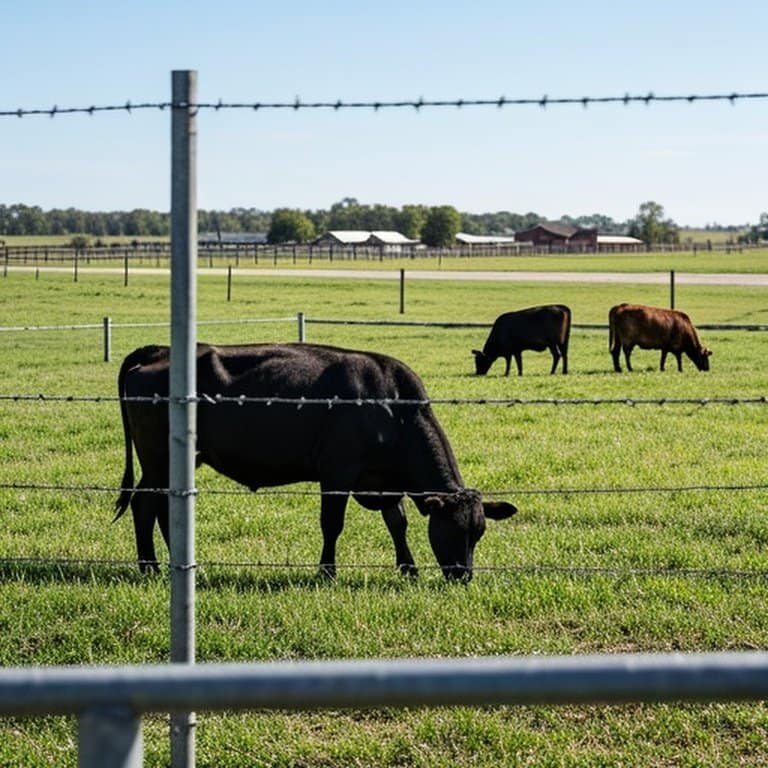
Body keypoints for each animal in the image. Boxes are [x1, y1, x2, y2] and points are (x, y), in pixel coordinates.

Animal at [115, 342, 516, 581]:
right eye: (452, 529)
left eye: (479, 532)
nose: (464, 576)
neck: (394, 407)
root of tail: (156, 352)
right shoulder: (338, 472)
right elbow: (332, 524)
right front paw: (327, 572)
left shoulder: (383, 482)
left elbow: (397, 524)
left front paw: (408, 568)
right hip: (158, 461)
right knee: (144, 504)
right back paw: (150, 567)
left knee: (161, 507)